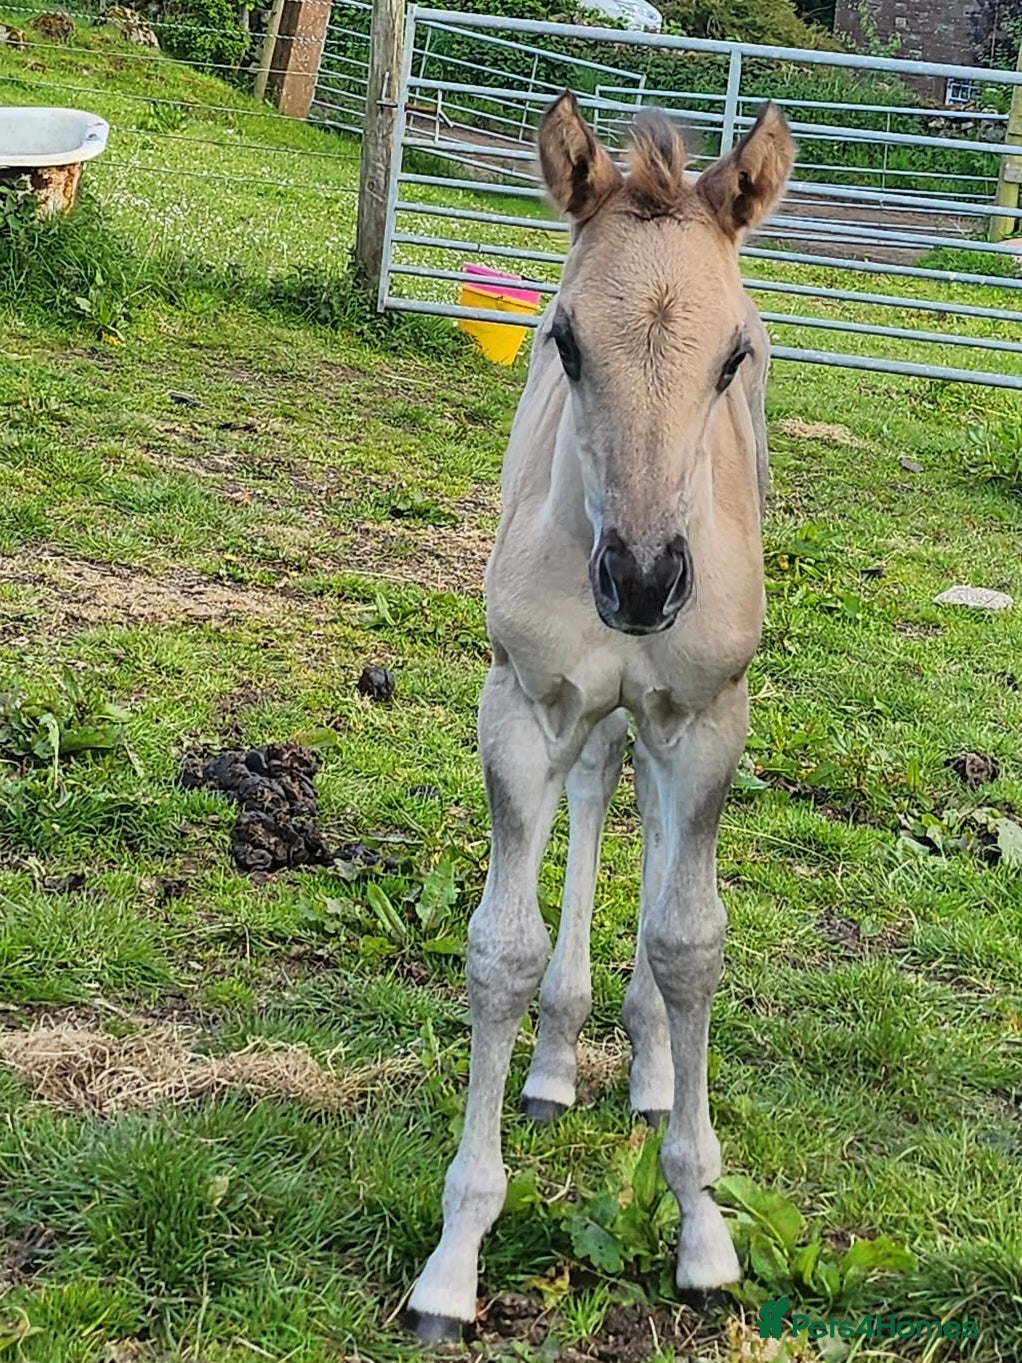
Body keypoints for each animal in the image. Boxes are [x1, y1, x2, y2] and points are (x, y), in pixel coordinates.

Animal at [407, 90, 794, 1341]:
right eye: (564, 341)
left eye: (734, 354)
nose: (638, 582)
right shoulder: (521, 706)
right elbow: (501, 950)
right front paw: (453, 1260)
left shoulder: (708, 714)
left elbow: (688, 938)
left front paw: (703, 1232)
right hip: (585, 714)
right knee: (594, 790)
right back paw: (557, 1062)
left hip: (674, 717)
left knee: (659, 833)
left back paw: (651, 1066)